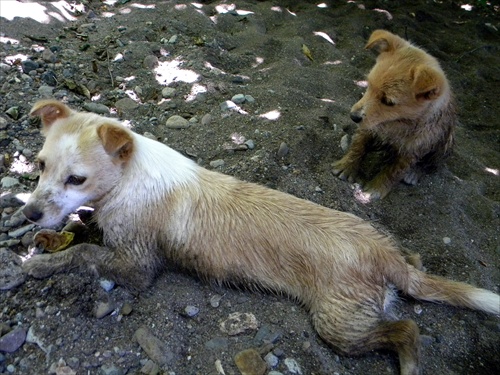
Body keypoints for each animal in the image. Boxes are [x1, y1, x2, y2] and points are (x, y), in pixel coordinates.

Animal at [24, 100, 500, 375]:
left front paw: (41, 263)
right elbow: (81, 231)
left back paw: (410, 362)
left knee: (406, 329)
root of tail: (386, 257)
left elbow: (86, 251)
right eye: (40, 164)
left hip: (338, 325)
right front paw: (50, 239)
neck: (128, 177)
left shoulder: (136, 266)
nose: (26, 213)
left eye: (77, 178)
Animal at [334, 30, 456, 200]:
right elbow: (358, 146)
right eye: (368, 85)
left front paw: (376, 188)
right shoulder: (369, 128)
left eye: (388, 101)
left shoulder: (411, 150)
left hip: (444, 144)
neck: (397, 123)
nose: (354, 116)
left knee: (431, 164)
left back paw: (415, 173)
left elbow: (393, 171)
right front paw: (346, 166)